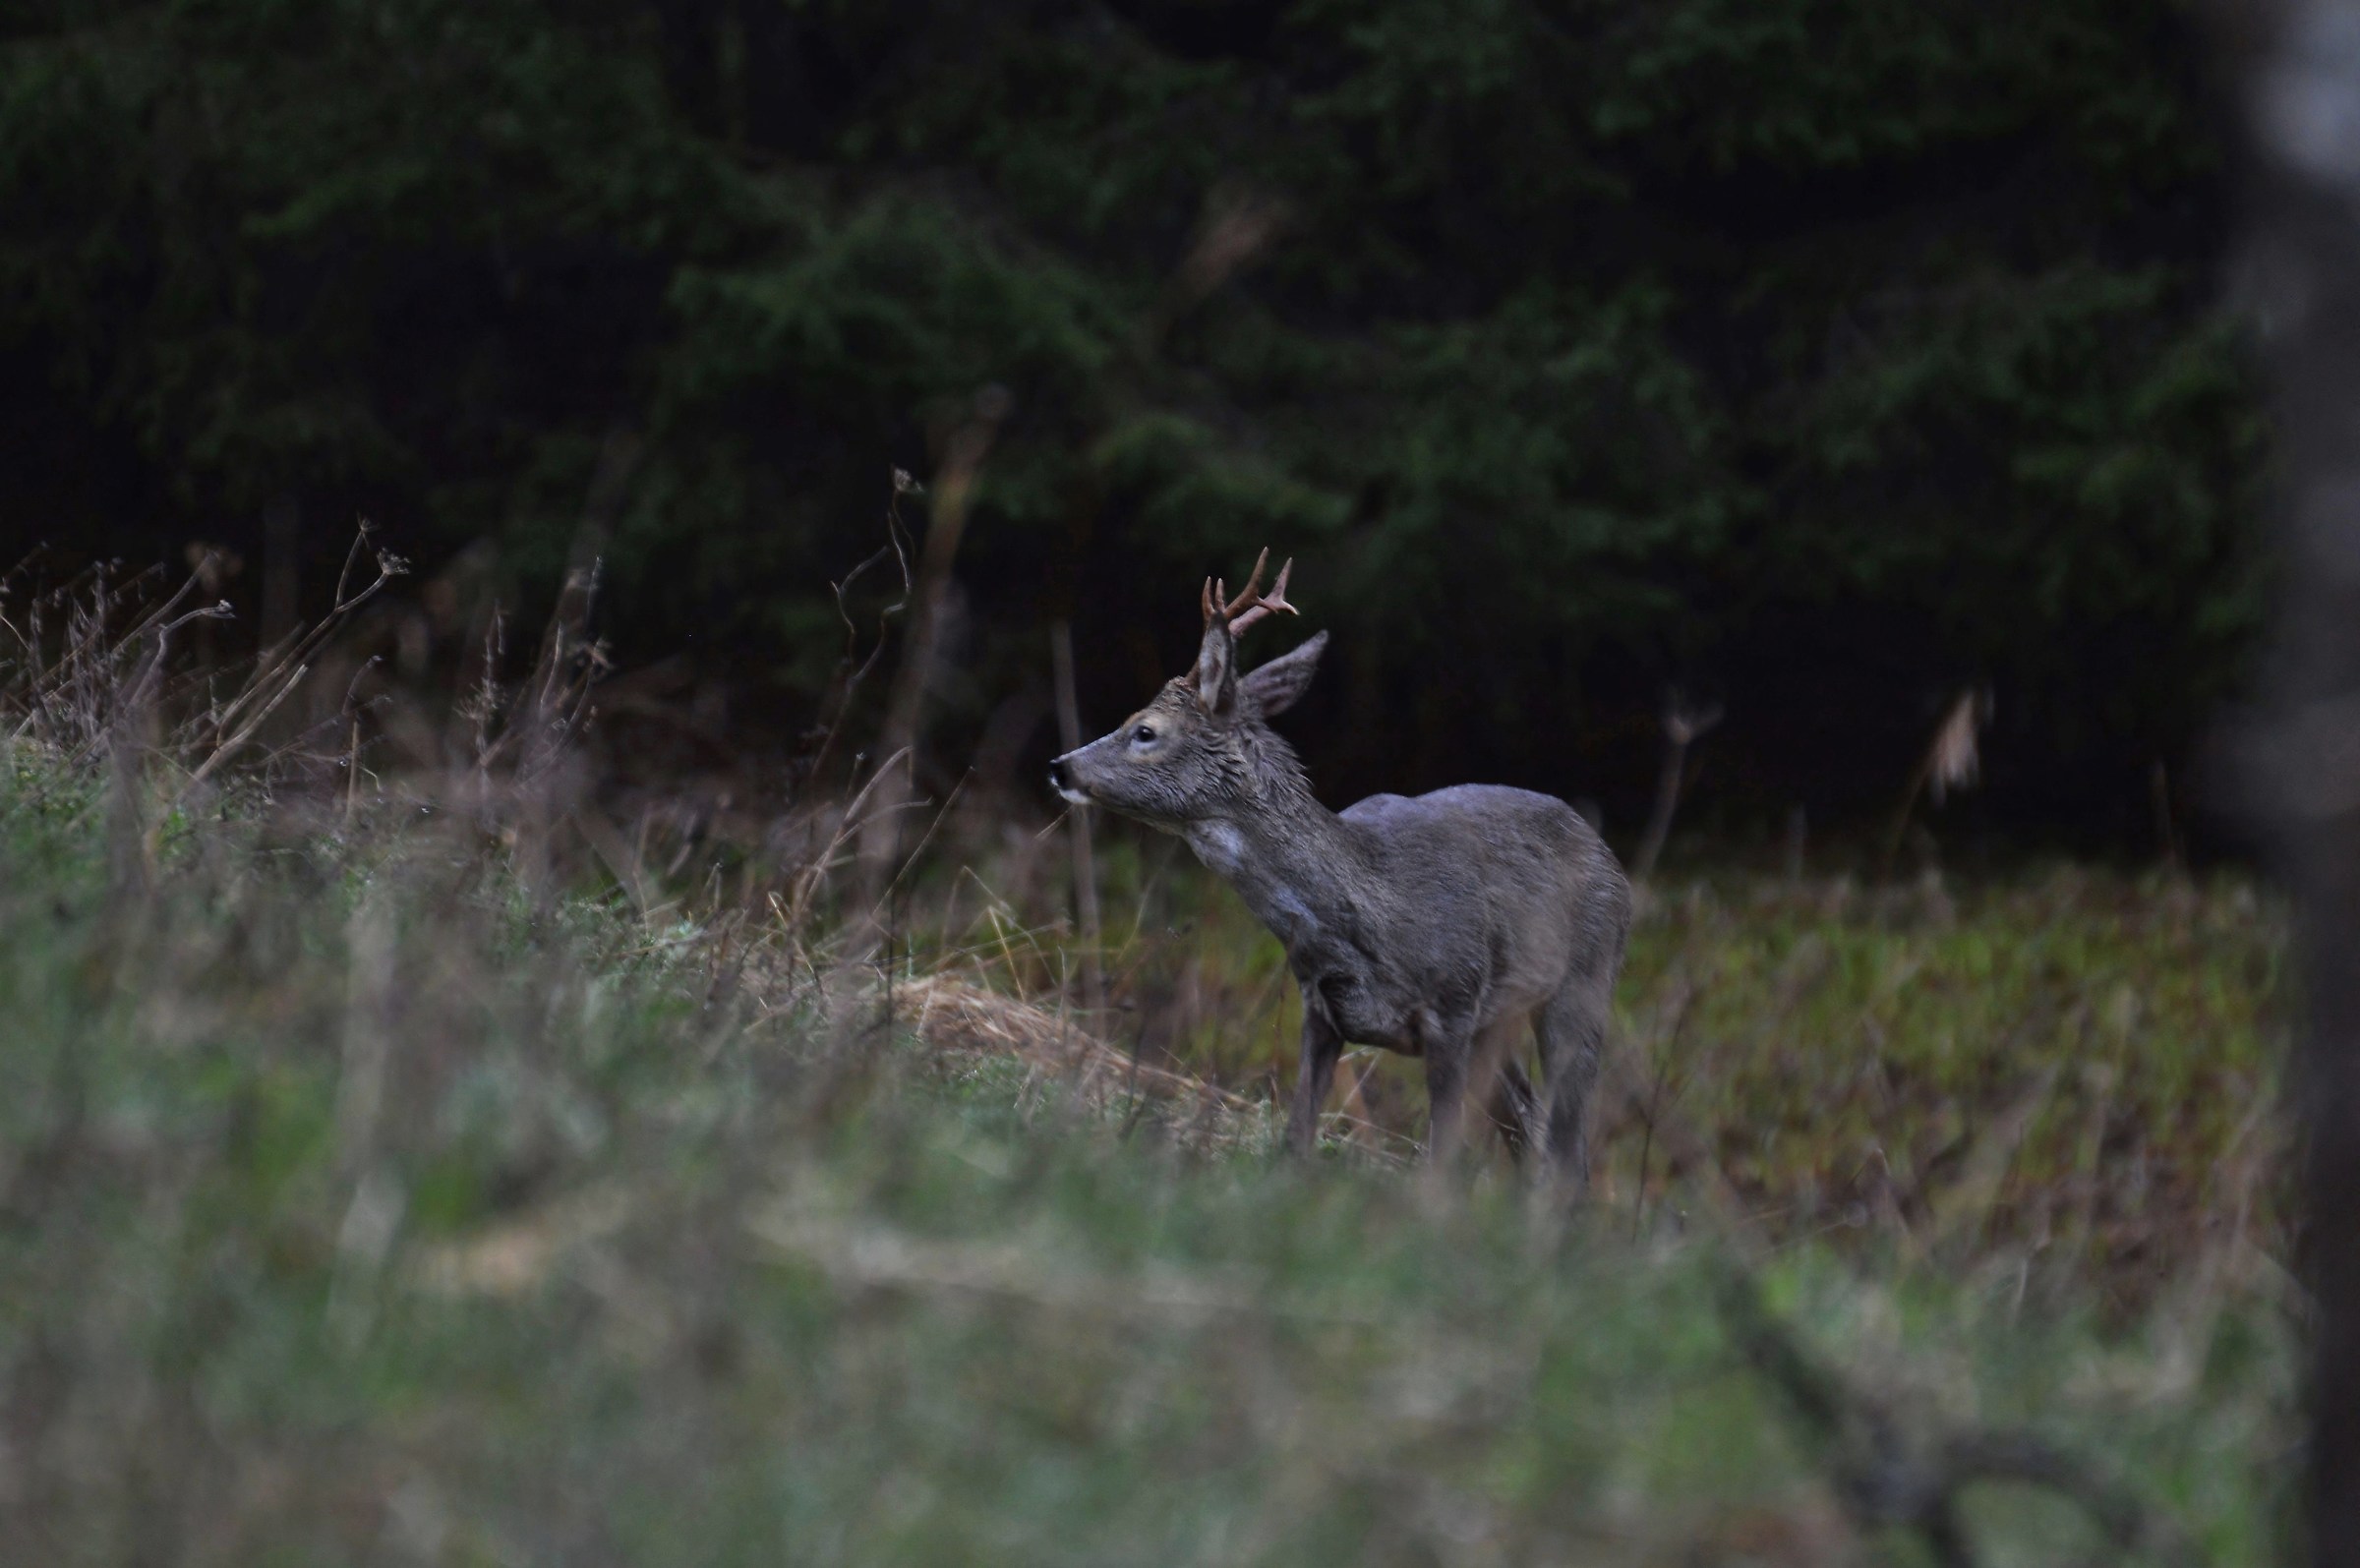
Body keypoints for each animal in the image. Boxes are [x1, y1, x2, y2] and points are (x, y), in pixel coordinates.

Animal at [1048, 551, 1630, 1187]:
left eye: (1145, 730)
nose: (1060, 765)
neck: (1369, 917)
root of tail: (1611, 860)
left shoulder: (1453, 1009)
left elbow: (1442, 1160)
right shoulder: (1321, 1012)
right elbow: (1296, 1139)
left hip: (1583, 984)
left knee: (1569, 1148)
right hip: (1497, 1026)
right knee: (1531, 1129)